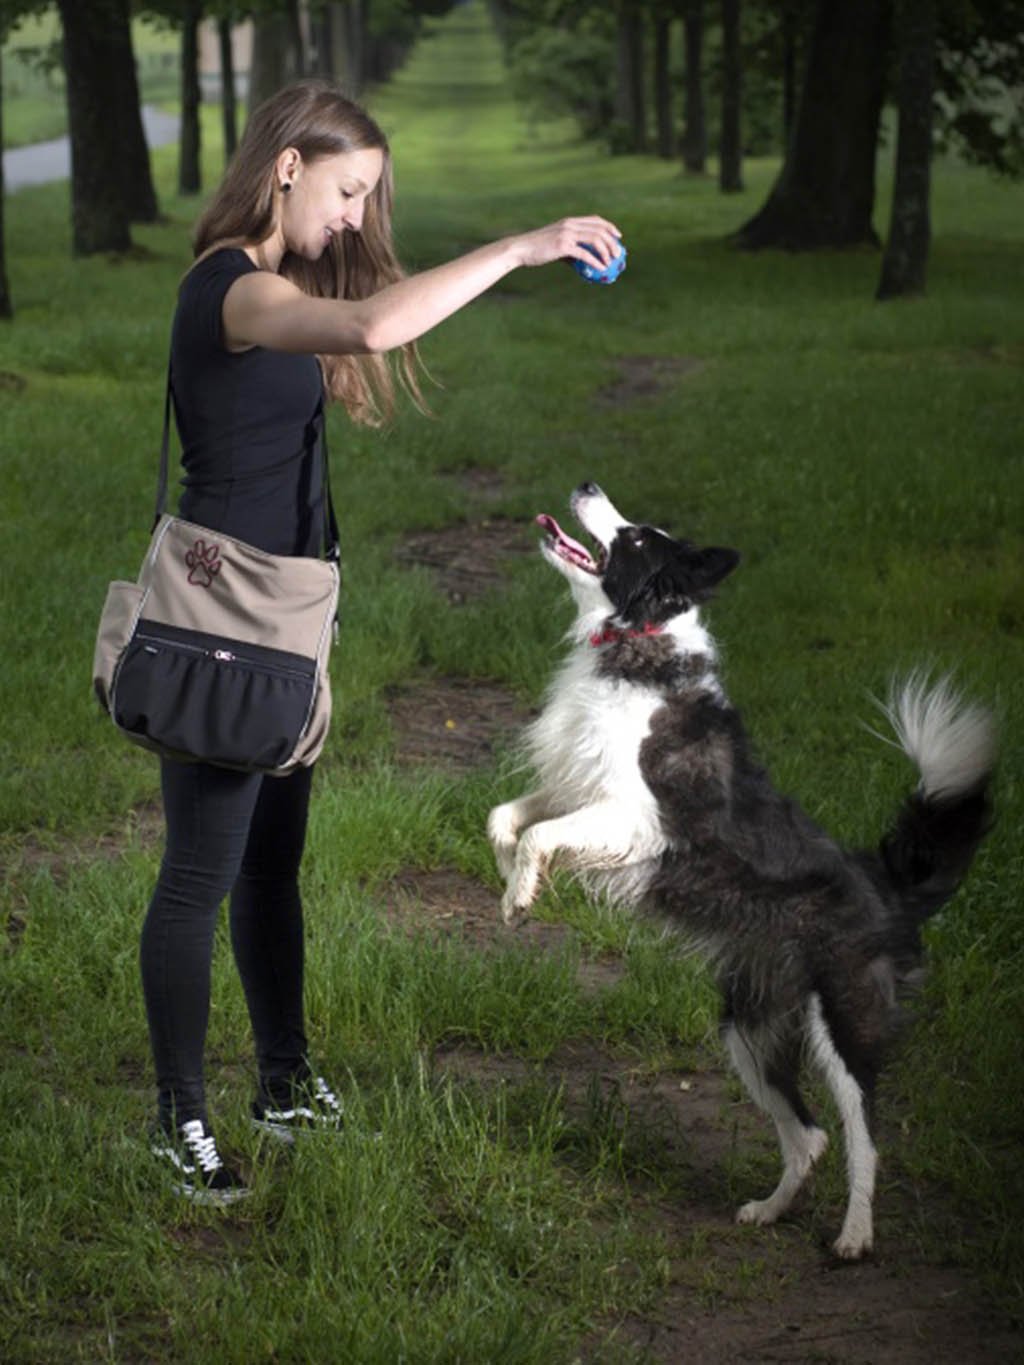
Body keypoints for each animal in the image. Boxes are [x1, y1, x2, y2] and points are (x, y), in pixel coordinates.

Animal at [488, 477, 993, 1255]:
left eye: (636, 537)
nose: (586, 485)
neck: (638, 641)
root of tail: (886, 886)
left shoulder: (638, 817)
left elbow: (541, 832)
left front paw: (520, 894)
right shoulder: (583, 788)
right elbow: (508, 819)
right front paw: (511, 881)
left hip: (846, 1021)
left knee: (863, 1133)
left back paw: (854, 1235)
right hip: (748, 1026)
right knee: (810, 1136)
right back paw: (771, 1210)